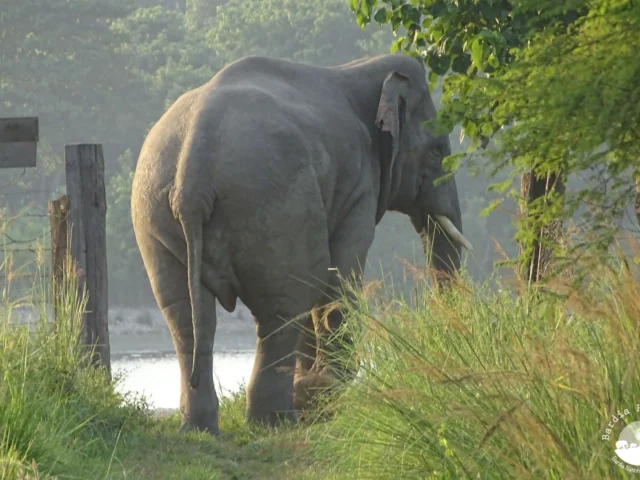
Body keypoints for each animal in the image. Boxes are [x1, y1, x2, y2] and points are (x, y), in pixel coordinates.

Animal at [130, 53, 472, 435]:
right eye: (438, 150)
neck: (359, 71)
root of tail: (194, 167)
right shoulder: (359, 186)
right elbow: (339, 274)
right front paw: (321, 394)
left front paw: (317, 392)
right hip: (276, 206)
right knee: (282, 306)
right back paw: (279, 422)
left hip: (156, 216)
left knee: (186, 315)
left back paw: (203, 429)